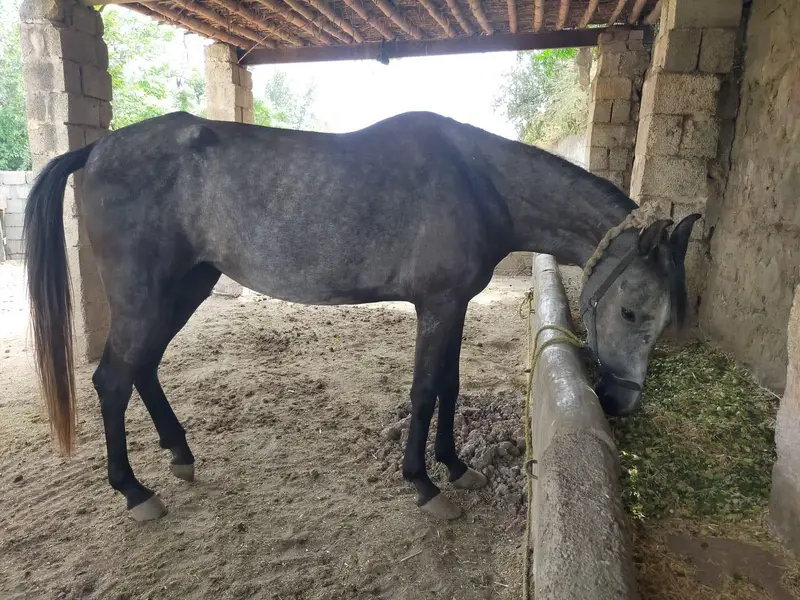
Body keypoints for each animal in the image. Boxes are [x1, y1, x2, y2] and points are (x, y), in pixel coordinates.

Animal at [23, 111, 699, 521]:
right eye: (632, 311)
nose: (620, 401)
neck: (476, 181)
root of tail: (96, 148)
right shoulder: (437, 305)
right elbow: (425, 390)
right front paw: (424, 485)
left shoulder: (454, 306)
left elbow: (449, 387)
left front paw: (457, 467)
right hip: (145, 294)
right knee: (112, 379)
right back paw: (135, 491)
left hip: (187, 285)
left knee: (144, 367)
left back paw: (179, 454)